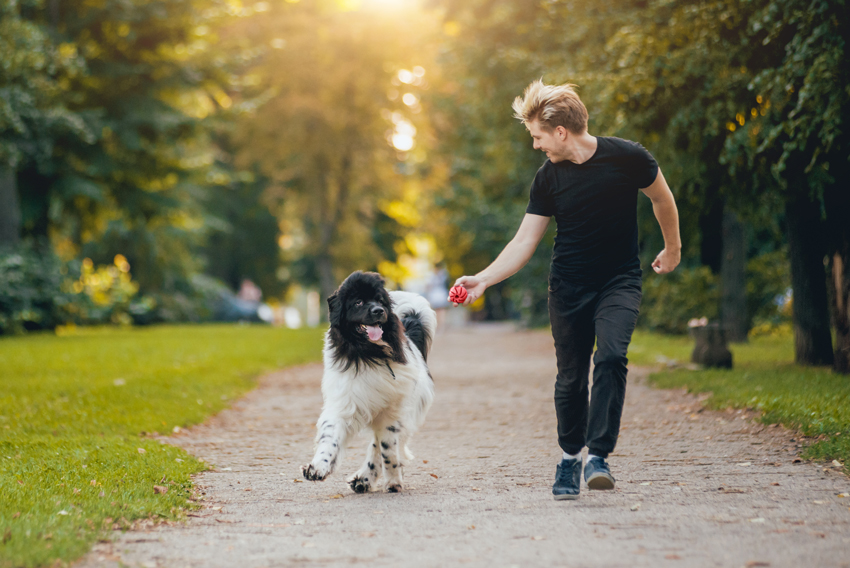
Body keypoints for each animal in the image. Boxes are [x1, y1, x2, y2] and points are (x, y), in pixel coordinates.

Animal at [300, 270, 434, 492]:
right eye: (358, 302)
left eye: (380, 300)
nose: (379, 311)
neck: (368, 353)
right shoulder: (343, 403)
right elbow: (330, 436)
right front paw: (318, 467)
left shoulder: (392, 413)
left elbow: (387, 449)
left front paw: (393, 479)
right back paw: (362, 480)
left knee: (380, 446)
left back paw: (365, 478)